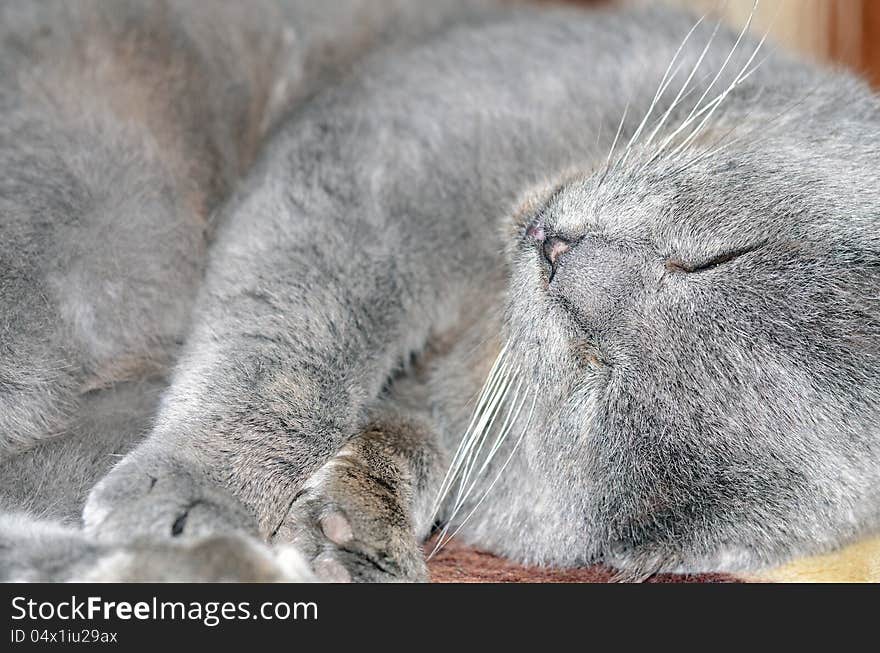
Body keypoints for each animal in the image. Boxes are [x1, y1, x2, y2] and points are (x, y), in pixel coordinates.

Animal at [1, 0, 880, 580]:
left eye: (597, 381)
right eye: (719, 257)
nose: (560, 253)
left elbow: (407, 433)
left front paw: (353, 528)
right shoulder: (393, 141)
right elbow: (297, 341)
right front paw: (203, 486)